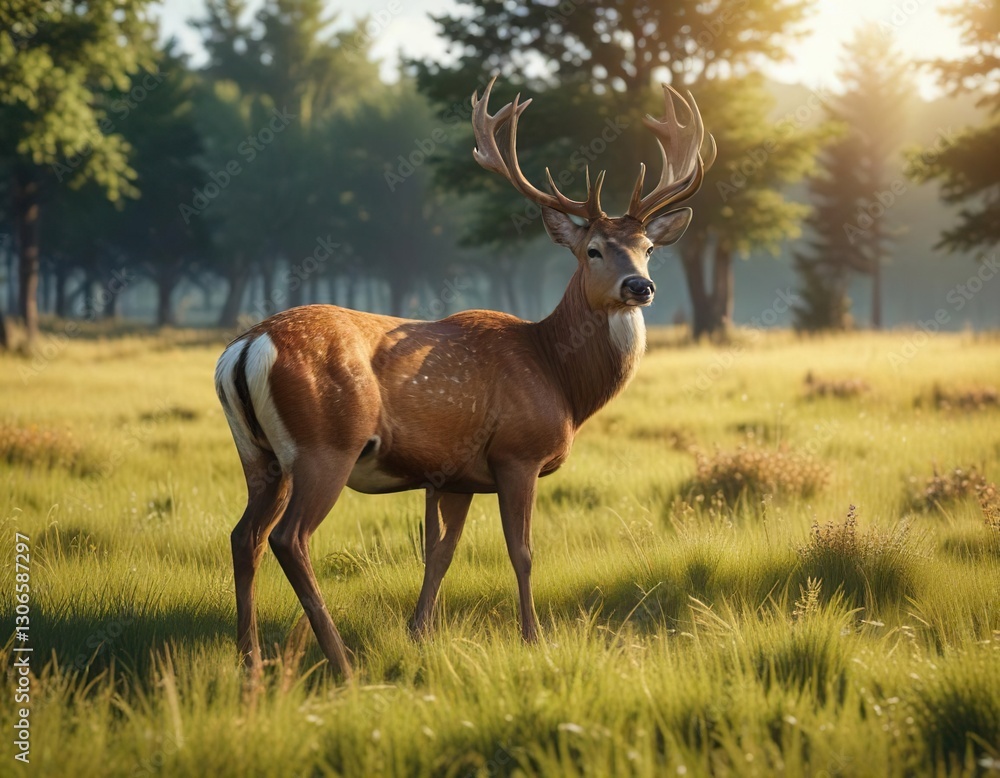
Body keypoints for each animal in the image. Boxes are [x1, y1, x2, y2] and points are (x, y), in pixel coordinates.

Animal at [214, 77, 715, 679]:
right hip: (324, 445)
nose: (640, 286)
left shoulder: (454, 475)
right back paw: (341, 663)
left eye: (648, 249)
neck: (559, 378)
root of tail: (247, 346)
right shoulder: (517, 453)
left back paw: (250, 662)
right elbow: (522, 551)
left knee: (245, 536)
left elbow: (439, 553)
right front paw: (533, 638)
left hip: (258, 455)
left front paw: (419, 633)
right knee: (290, 538)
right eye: (593, 250)